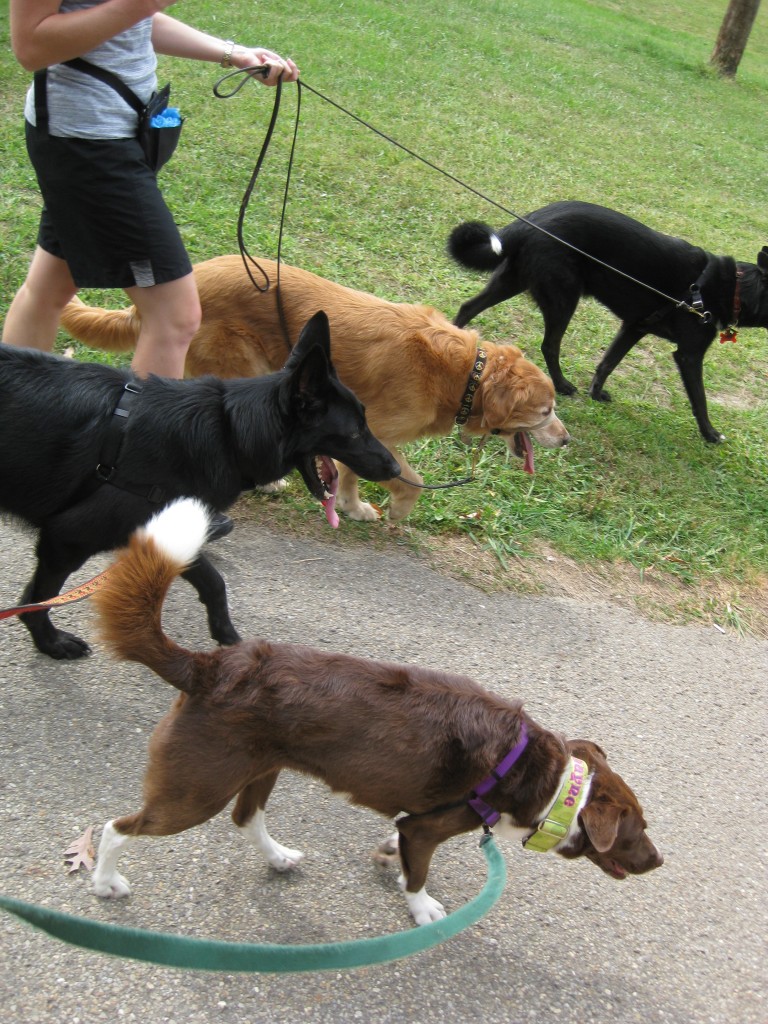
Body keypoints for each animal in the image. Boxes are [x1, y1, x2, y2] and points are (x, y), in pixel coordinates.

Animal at [61, 258, 573, 520]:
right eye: (545, 411)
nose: (567, 439)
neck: (467, 375)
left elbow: (349, 472)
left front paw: (348, 505)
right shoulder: (375, 431)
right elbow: (406, 477)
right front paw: (390, 510)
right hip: (241, 364)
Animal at [91, 499, 663, 925]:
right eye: (637, 830)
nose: (659, 861)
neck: (548, 777)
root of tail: (207, 666)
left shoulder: (415, 820)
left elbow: (399, 845)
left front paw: (390, 856)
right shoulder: (427, 829)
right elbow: (419, 874)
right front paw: (424, 909)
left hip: (259, 766)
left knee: (245, 817)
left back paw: (278, 857)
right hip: (196, 789)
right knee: (118, 828)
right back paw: (105, 882)